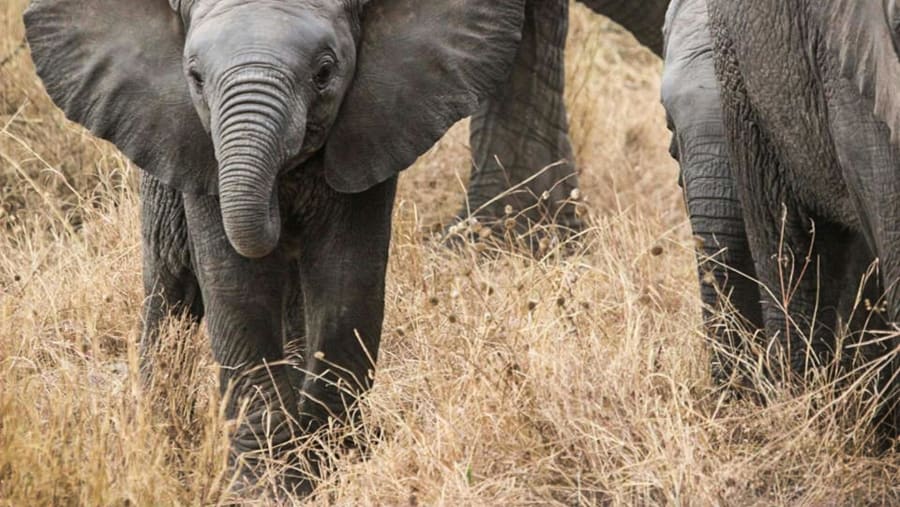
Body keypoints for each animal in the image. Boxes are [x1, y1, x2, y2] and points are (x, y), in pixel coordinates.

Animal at [25, 0, 527, 490]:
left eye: (324, 72)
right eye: (195, 78)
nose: (279, 207)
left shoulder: (375, 129)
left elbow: (346, 280)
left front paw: (332, 470)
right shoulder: (196, 148)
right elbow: (236, 287)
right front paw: (264, 487)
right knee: (170, 288)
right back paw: (158, 439)